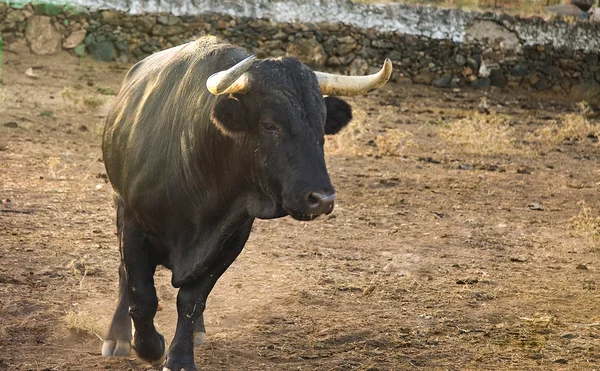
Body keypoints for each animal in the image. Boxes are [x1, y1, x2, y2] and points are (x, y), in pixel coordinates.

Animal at [101, 35, 392, 371]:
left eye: (321, 126)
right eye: (270, 125)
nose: (322, 199)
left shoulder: (232, 237)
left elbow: (192, 299)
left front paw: (180, 357)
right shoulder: (133, 224)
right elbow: (141, 295)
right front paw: (148, 346)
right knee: (125, 277)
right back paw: (119, 336)